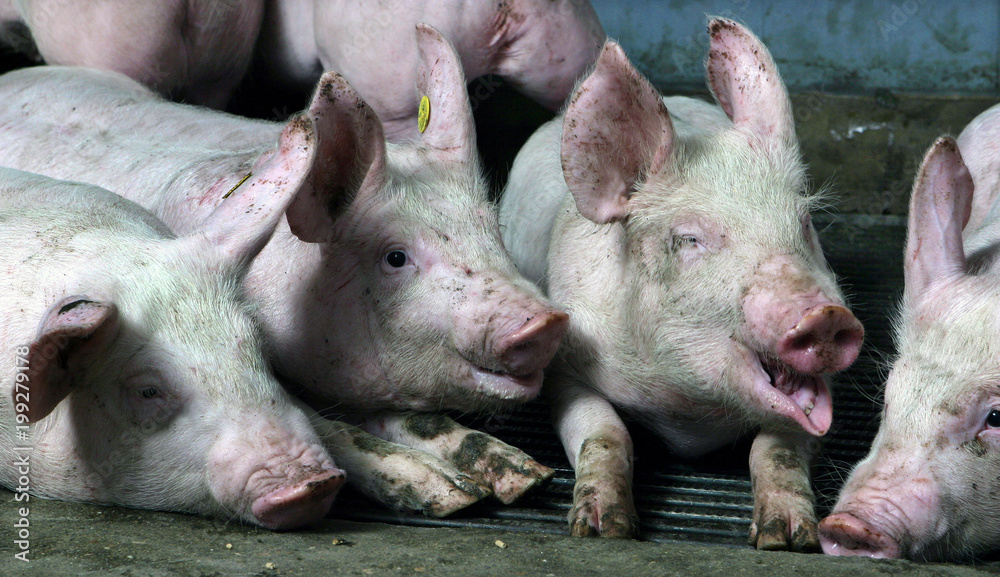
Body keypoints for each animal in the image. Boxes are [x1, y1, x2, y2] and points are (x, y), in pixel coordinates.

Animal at [500, 18, 868, 548]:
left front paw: (787, 538)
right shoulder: (565, 365)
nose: (827, 315)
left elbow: (776, 446)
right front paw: (605, 530)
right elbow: (605, 433)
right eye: (690, 238)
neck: (687, 416)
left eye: (803, 223)